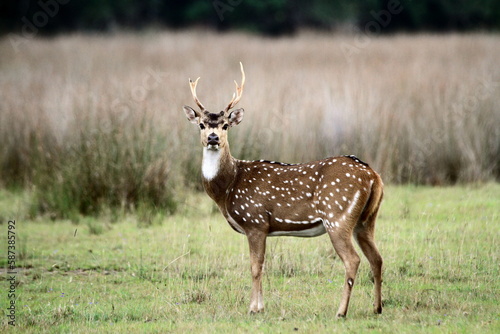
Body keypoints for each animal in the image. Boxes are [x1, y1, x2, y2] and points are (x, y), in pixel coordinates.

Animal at [183, 63, 382, 318]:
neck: (229, 187)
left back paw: (341, 311)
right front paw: (259, 306)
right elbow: (260, 265)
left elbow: (255, 266)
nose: (213, 137)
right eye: (201, 124)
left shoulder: (255, 221)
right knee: (377, 259)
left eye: (225, 124)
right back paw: (377, 307)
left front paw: (254, 308)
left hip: (337, 216)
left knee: (353, 260)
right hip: (366, 220)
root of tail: (373, 176)